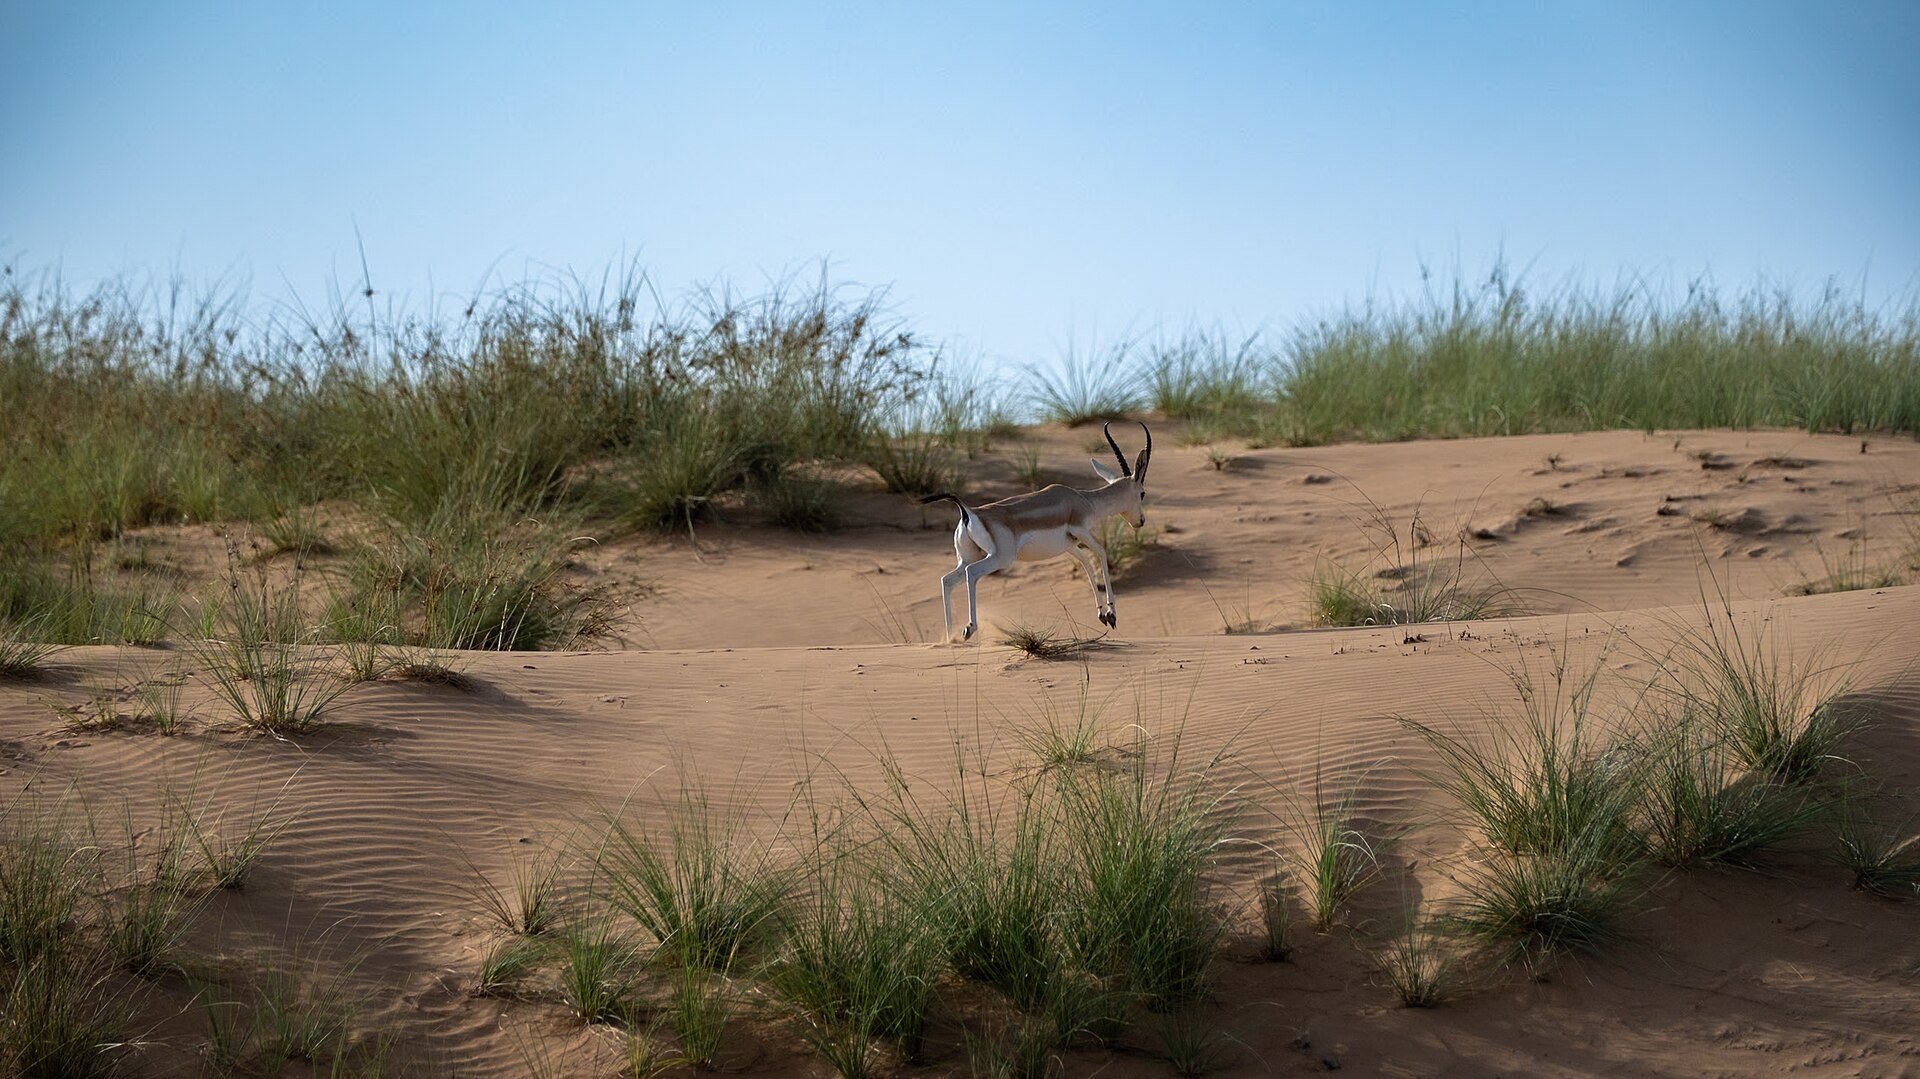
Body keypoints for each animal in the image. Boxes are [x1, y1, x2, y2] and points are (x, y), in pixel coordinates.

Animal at [919, 421, 1152, 642]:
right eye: (1142, 493)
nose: (1140, 521)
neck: (1083, 500)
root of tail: (968, 512)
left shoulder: (1069, 545)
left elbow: (1086, 562)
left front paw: (1102, 614)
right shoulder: (1081, 530)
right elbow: (1101, 553)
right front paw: (1112, 614)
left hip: (968, 557)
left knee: (947, 581)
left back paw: (950, 638)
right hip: (999, 558)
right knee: (971, 573)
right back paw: (969, 628)